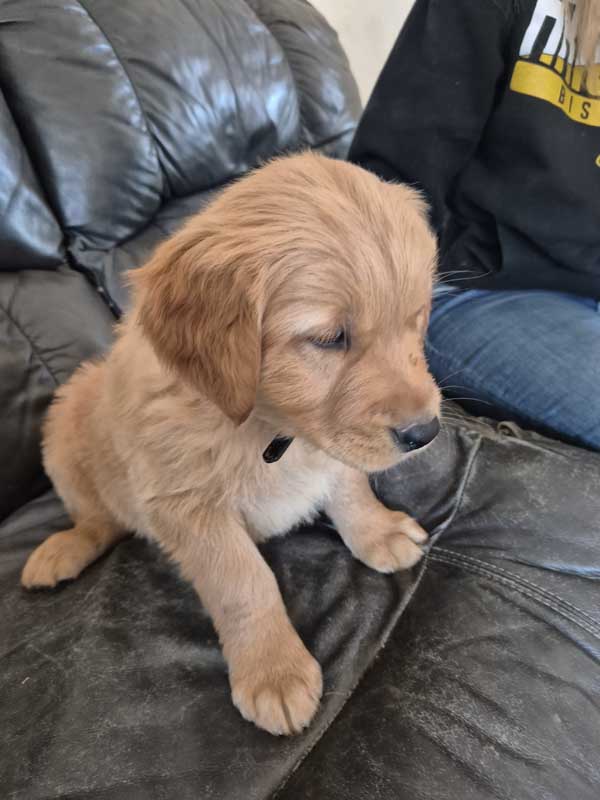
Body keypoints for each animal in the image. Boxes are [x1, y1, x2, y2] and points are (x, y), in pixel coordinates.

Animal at [22, 152, 440, 736]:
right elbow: (244, 583)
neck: (269, 429)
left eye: (416, 321)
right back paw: (63, 548)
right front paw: (274, 672)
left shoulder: (329, 444)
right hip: (64, 425)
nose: (426, 433)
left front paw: (377, 530)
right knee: (97, 518)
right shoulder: (185, 506)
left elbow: (349, 486)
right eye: (329, 339)